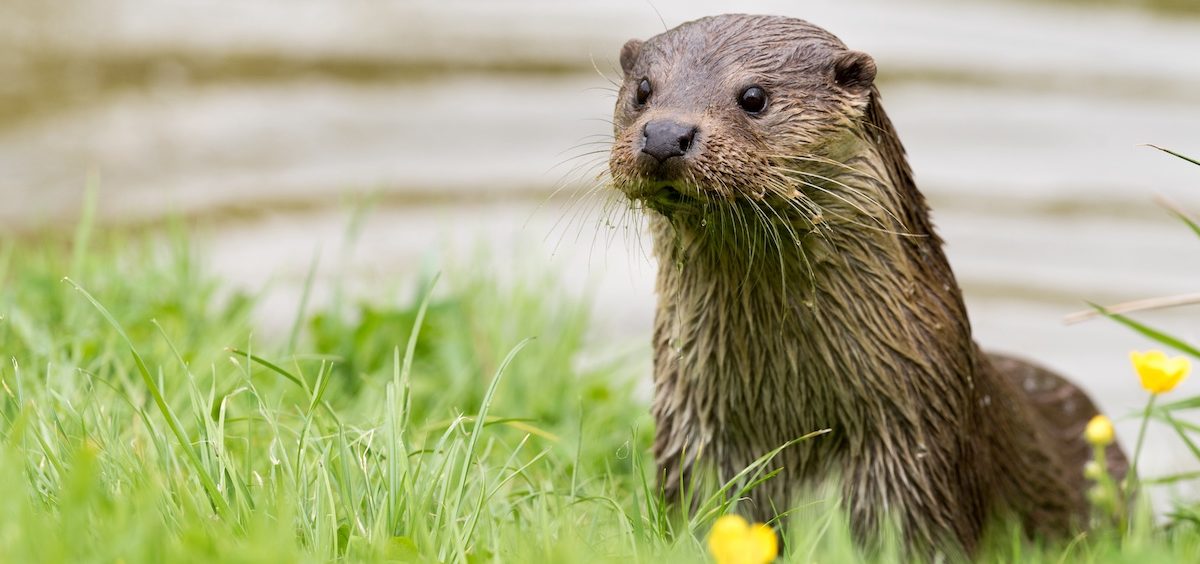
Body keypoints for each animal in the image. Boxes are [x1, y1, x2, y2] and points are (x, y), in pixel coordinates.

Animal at [606, 14, 1127, 553]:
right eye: (643, 89)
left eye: (753, 96)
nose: (665, 134)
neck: (792, 416)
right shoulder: (693, 435)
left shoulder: (913, 455)